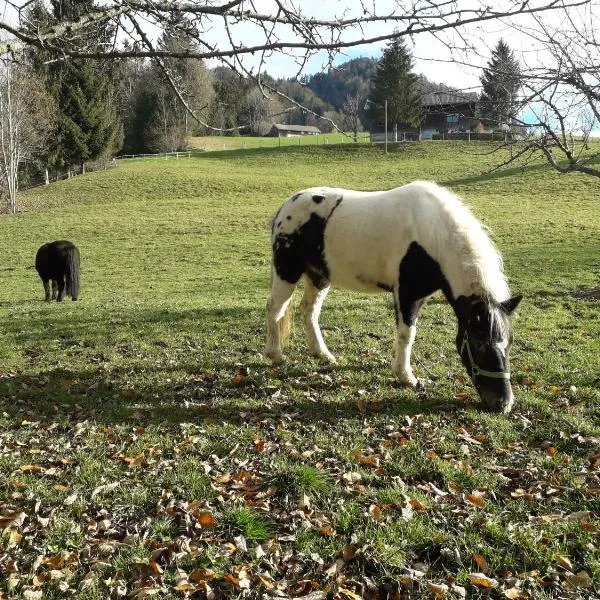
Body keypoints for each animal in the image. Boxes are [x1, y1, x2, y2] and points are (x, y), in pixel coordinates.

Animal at [264, 179, 524, 412]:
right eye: (479, 343)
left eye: (509, 342)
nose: (503, 403)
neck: (433, 236)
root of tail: (285, 208)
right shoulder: (407, 295)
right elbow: (407, 335)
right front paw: (406, 377)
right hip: (287, 273)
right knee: (275, 309)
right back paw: (275, 355)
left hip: (319, 277)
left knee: (309, 311)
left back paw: (323, 354)